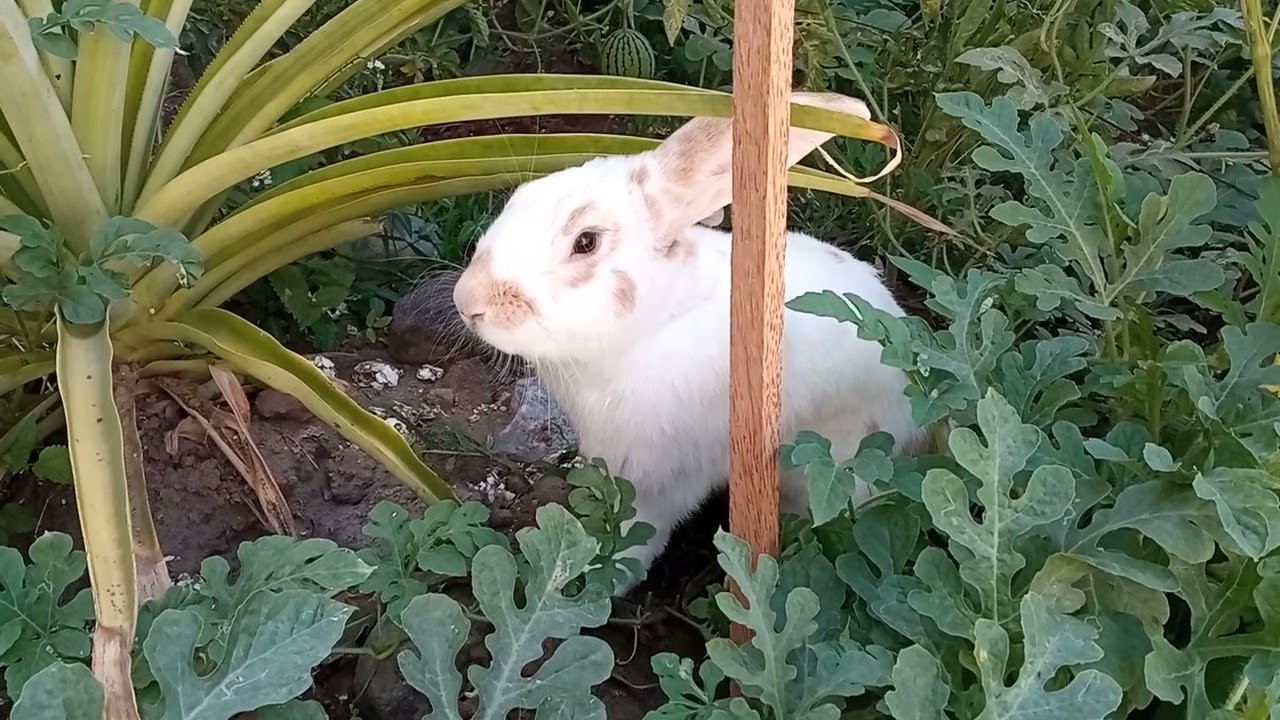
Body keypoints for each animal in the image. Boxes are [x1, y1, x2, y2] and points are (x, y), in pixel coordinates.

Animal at [452, 91, 928, 595]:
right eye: (518, 199)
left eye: (586, 242)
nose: (468, 302)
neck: (652, 326)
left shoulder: (665, 478)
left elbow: (640, 532)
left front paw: (605, 582)